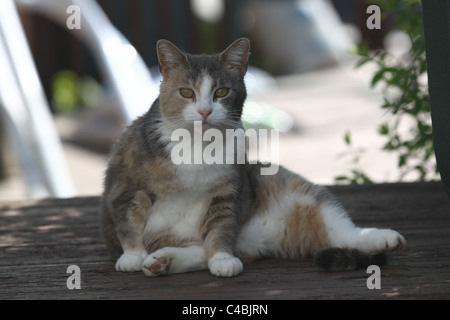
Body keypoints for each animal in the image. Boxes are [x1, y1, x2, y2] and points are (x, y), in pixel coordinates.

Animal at [100, 38, 406, 278]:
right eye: (186, 92)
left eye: (221, 92)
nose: (205, 111)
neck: (198, 146)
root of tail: (260, 241)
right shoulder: (125, 187)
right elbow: (128, 223)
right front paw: (133, 256)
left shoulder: (228, 191)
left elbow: (221, 229)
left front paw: (222, 259)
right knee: (197, 249)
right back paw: (162, 260)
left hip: (299, 191)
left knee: (342, 231)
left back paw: (384, 237)